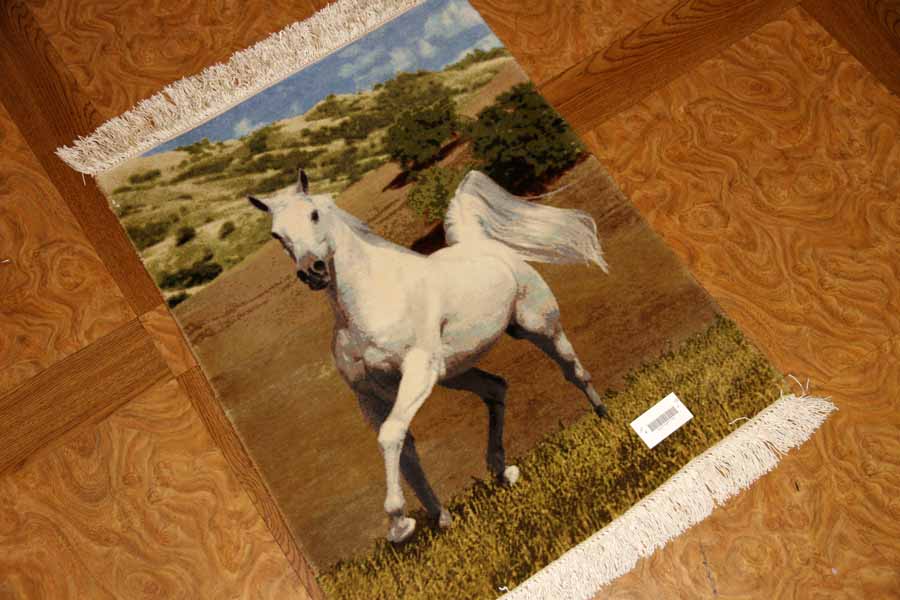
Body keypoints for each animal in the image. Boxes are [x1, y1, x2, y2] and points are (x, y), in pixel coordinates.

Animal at [248, 168, 609, 543]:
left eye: (314, 214)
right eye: (277, 234)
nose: (312, 271)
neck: (373, 299)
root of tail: (479, 244)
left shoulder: (417, 371)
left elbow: (391, 434)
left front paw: (399, 524)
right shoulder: (370, 395)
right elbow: (405, 449)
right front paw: (441, 520)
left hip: (537, 326)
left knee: (572, 370)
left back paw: (604, 417)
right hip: (455, 373)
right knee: (497, 389)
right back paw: (502, 471)